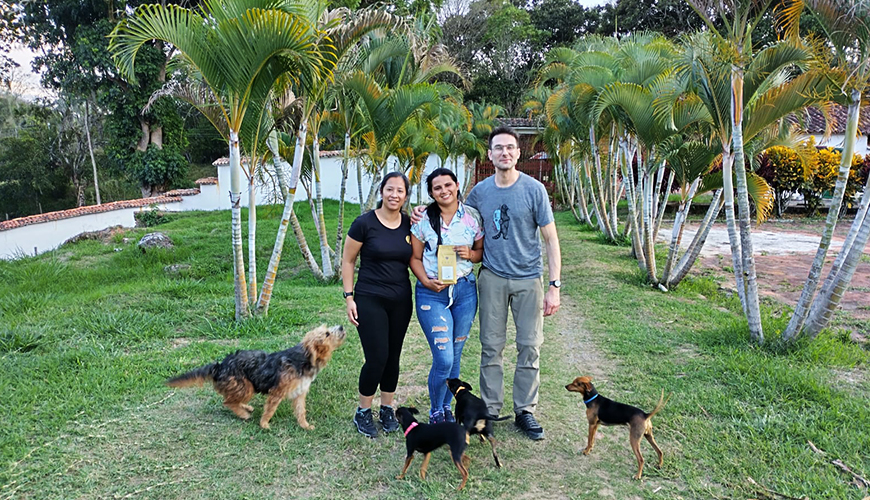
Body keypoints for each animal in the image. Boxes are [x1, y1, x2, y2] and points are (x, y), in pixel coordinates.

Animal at [169, 324, 346, 430]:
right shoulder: (277, 392)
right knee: (228, 402)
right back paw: (243, 414)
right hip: (245, 386)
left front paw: (305, 426)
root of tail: (220, 365)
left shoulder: (300, 393)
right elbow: (270, 410)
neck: (302, 359)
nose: (342, 326)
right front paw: (264, 424)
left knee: (232, 399)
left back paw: (245, 407)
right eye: (327, 333)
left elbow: (301, 411)